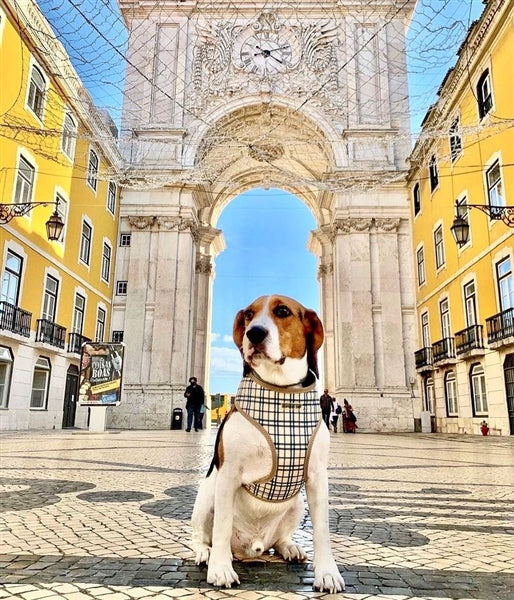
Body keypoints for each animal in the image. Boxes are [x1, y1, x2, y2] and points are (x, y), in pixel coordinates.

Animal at [190, 294, 342, 592]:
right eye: (249, 314)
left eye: (282, 311)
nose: (254, 333)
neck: (282, 393)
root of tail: (252, 548)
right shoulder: (228, 475)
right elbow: (222, 526)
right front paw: (220, 569)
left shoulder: (317, 478)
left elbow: (322, 530)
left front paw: (327, 572)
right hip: (207, 495)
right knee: (203, 536)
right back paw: (206, 553)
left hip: (297, 504)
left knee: (279, 540)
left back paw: (290, 548)